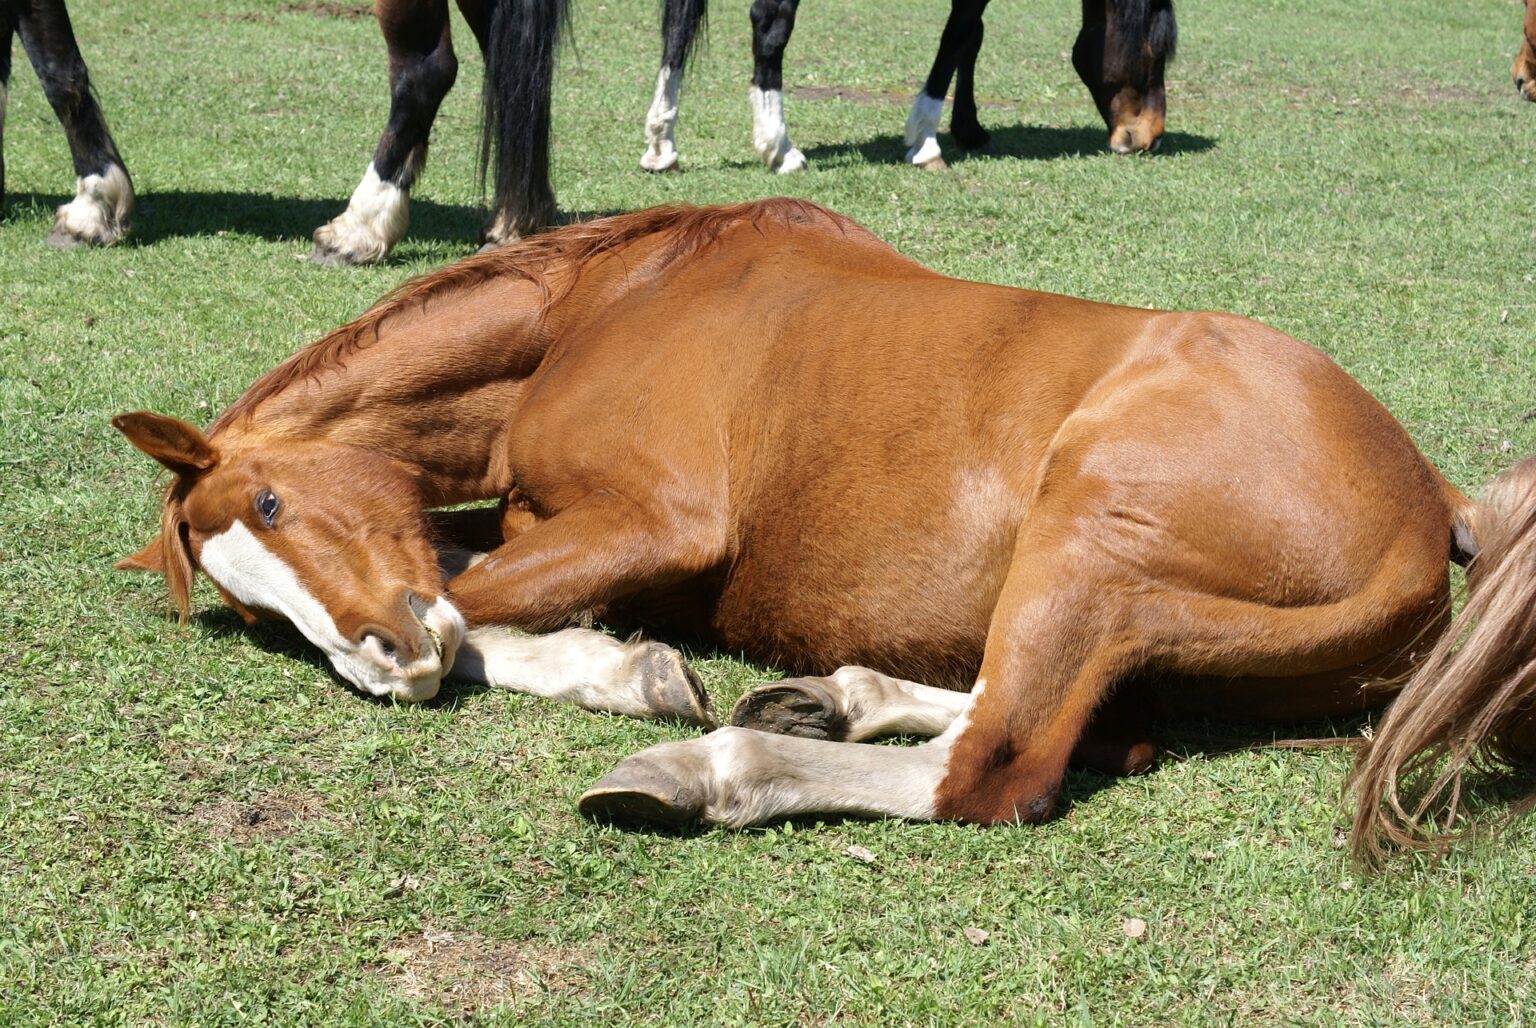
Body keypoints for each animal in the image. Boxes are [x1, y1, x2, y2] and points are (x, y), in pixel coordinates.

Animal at [111, 198, 1536, 864]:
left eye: (276, 502)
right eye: (248, 603)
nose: (376, 663)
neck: (608, 300)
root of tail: (1433, 499)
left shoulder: (659, 523)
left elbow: (475, 609)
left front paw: (633, 678)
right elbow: (468, 583)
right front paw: (629, 666)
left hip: (1087, 533)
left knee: (994, 767)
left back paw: (714, 767)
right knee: (1048, 720)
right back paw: (830, 697)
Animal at [641, 0, 1177, 174]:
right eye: (1158, 50)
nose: (1147, 136)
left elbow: (971, 36)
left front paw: (969, 127)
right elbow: (959, 33)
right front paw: (926, 140)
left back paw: (662, 142)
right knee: (770, 23)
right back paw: (780, 147)